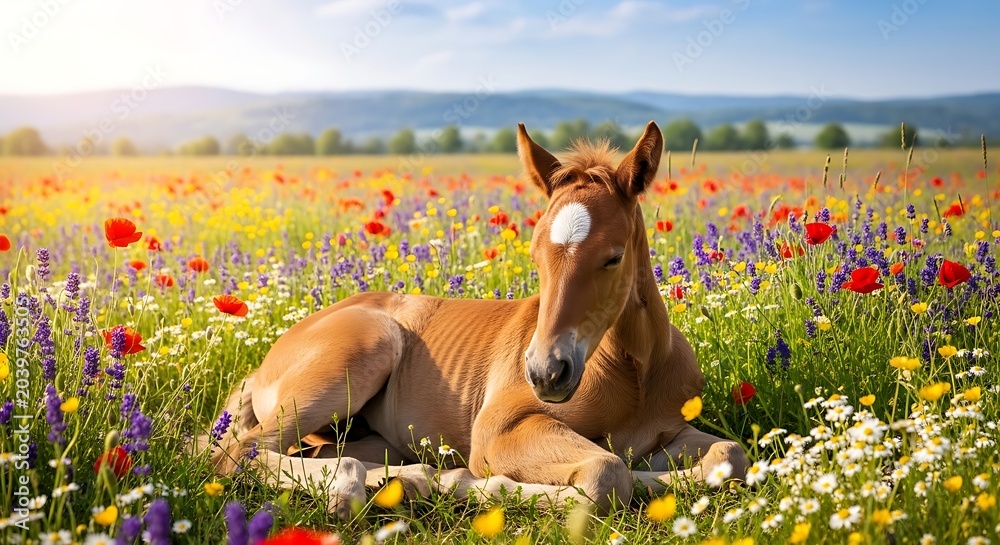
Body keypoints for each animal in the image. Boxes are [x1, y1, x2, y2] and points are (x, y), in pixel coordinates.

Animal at [209, 121, 749, 517]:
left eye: (613, 257)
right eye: (534, 253)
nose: (545, 373)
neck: (633, 372)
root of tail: (262, 365)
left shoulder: (672, 431)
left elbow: (730, 455)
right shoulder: (498, 429)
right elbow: (605, 472)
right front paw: (465, 480)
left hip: (361, 433)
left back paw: (406, 480)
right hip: (356, 357)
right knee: (233, 453)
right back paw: (364, 488)